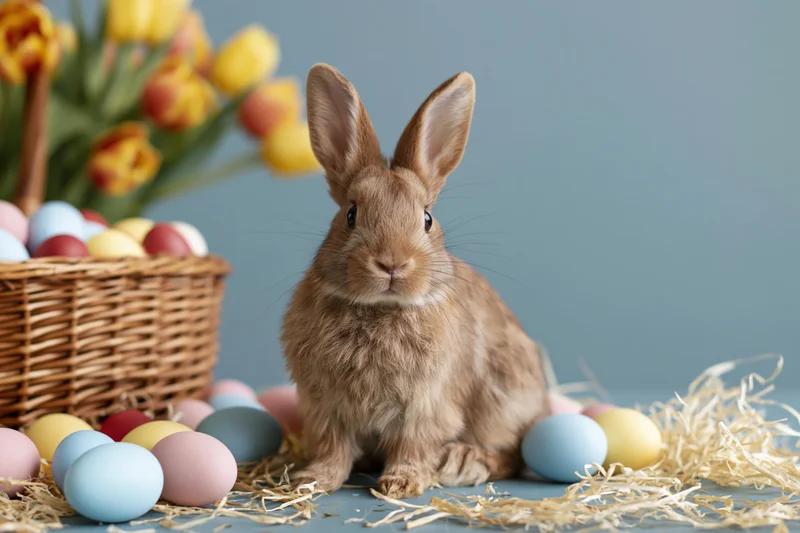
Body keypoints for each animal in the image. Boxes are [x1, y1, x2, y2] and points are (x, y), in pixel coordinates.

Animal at [281, 63, 549, 500]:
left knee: (513, 454)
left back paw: (463, 463)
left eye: (427, 218)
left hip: (506, 402)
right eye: (350, 214)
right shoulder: (325, 407)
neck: (380, 309)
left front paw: (400, 484)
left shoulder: (427, 406)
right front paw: (312, 481)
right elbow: (332, 448)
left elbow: (414, 445)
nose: (392, 264)